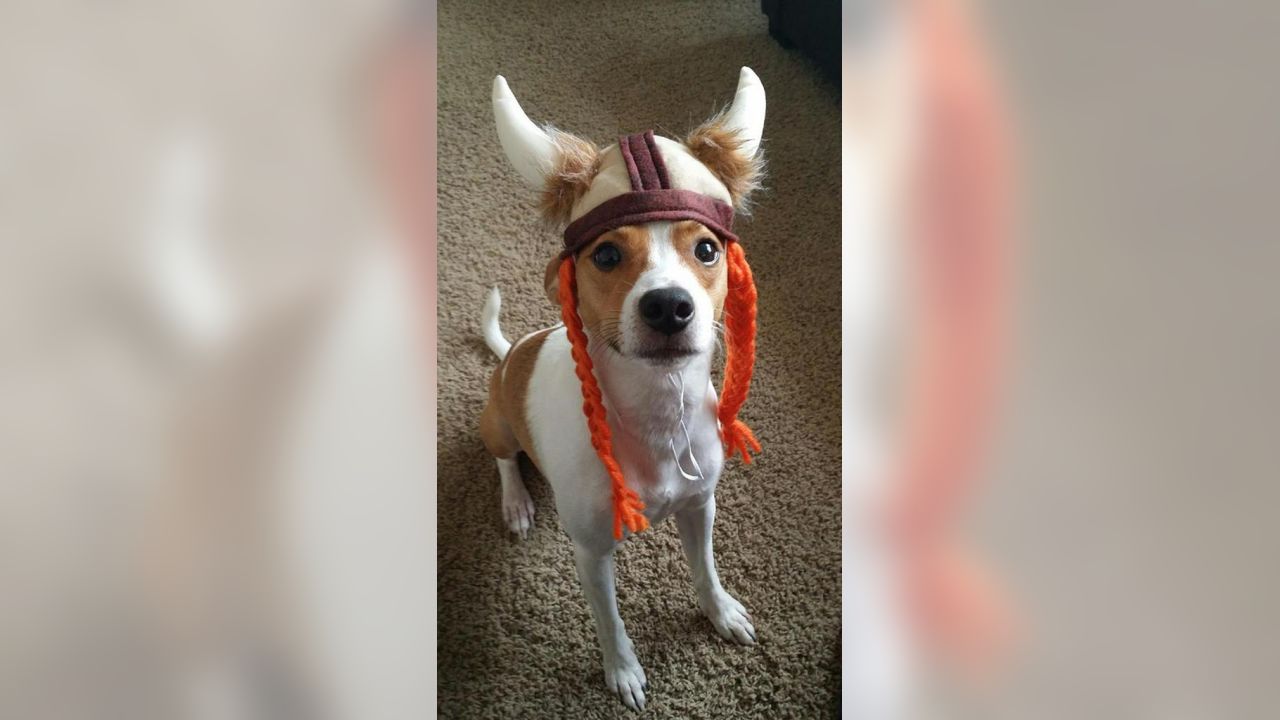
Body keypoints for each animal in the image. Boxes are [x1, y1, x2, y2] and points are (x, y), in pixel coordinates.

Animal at [476, 67, 762, 707]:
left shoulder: (699, 506)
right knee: (505, 461)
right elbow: (609, 621)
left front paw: (720, 613)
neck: (656, 410)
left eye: (707, 249)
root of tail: (512, 356)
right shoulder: (591, 552)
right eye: (605, 254)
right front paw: (624, 671)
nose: (669, 305)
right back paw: (516, 501)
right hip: (497, 423)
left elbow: (705, 569)